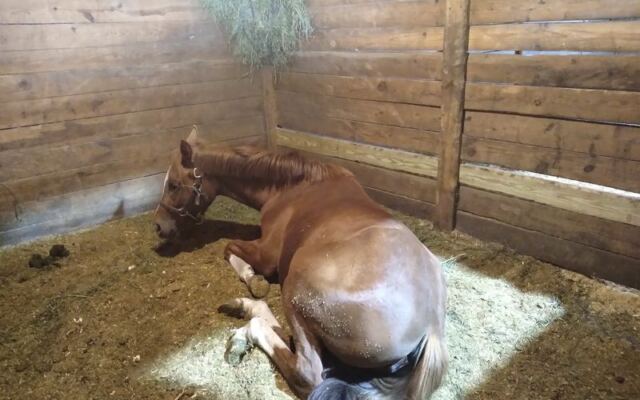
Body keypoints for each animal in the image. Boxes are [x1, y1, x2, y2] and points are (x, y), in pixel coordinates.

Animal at [154, 126, 448, 399]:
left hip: (295, 288)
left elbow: (229, 249)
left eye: (174, 185)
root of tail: (431, 326)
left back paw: (249, 321)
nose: (158, 226)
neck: (292, 187)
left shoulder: (267, 255)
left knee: (304, 369)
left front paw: (253, 278)